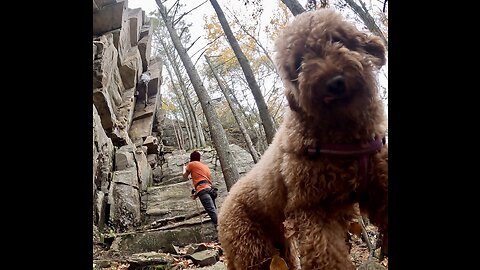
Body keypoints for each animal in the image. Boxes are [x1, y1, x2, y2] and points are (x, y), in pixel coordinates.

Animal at [219, 8, 388, 270]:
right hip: (252, 248)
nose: (334, 82)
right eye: (299, 64)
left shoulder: (380, 185)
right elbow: (327, 257)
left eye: (337, 39)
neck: (345, 135)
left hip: (281, 246)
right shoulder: (312, 208)